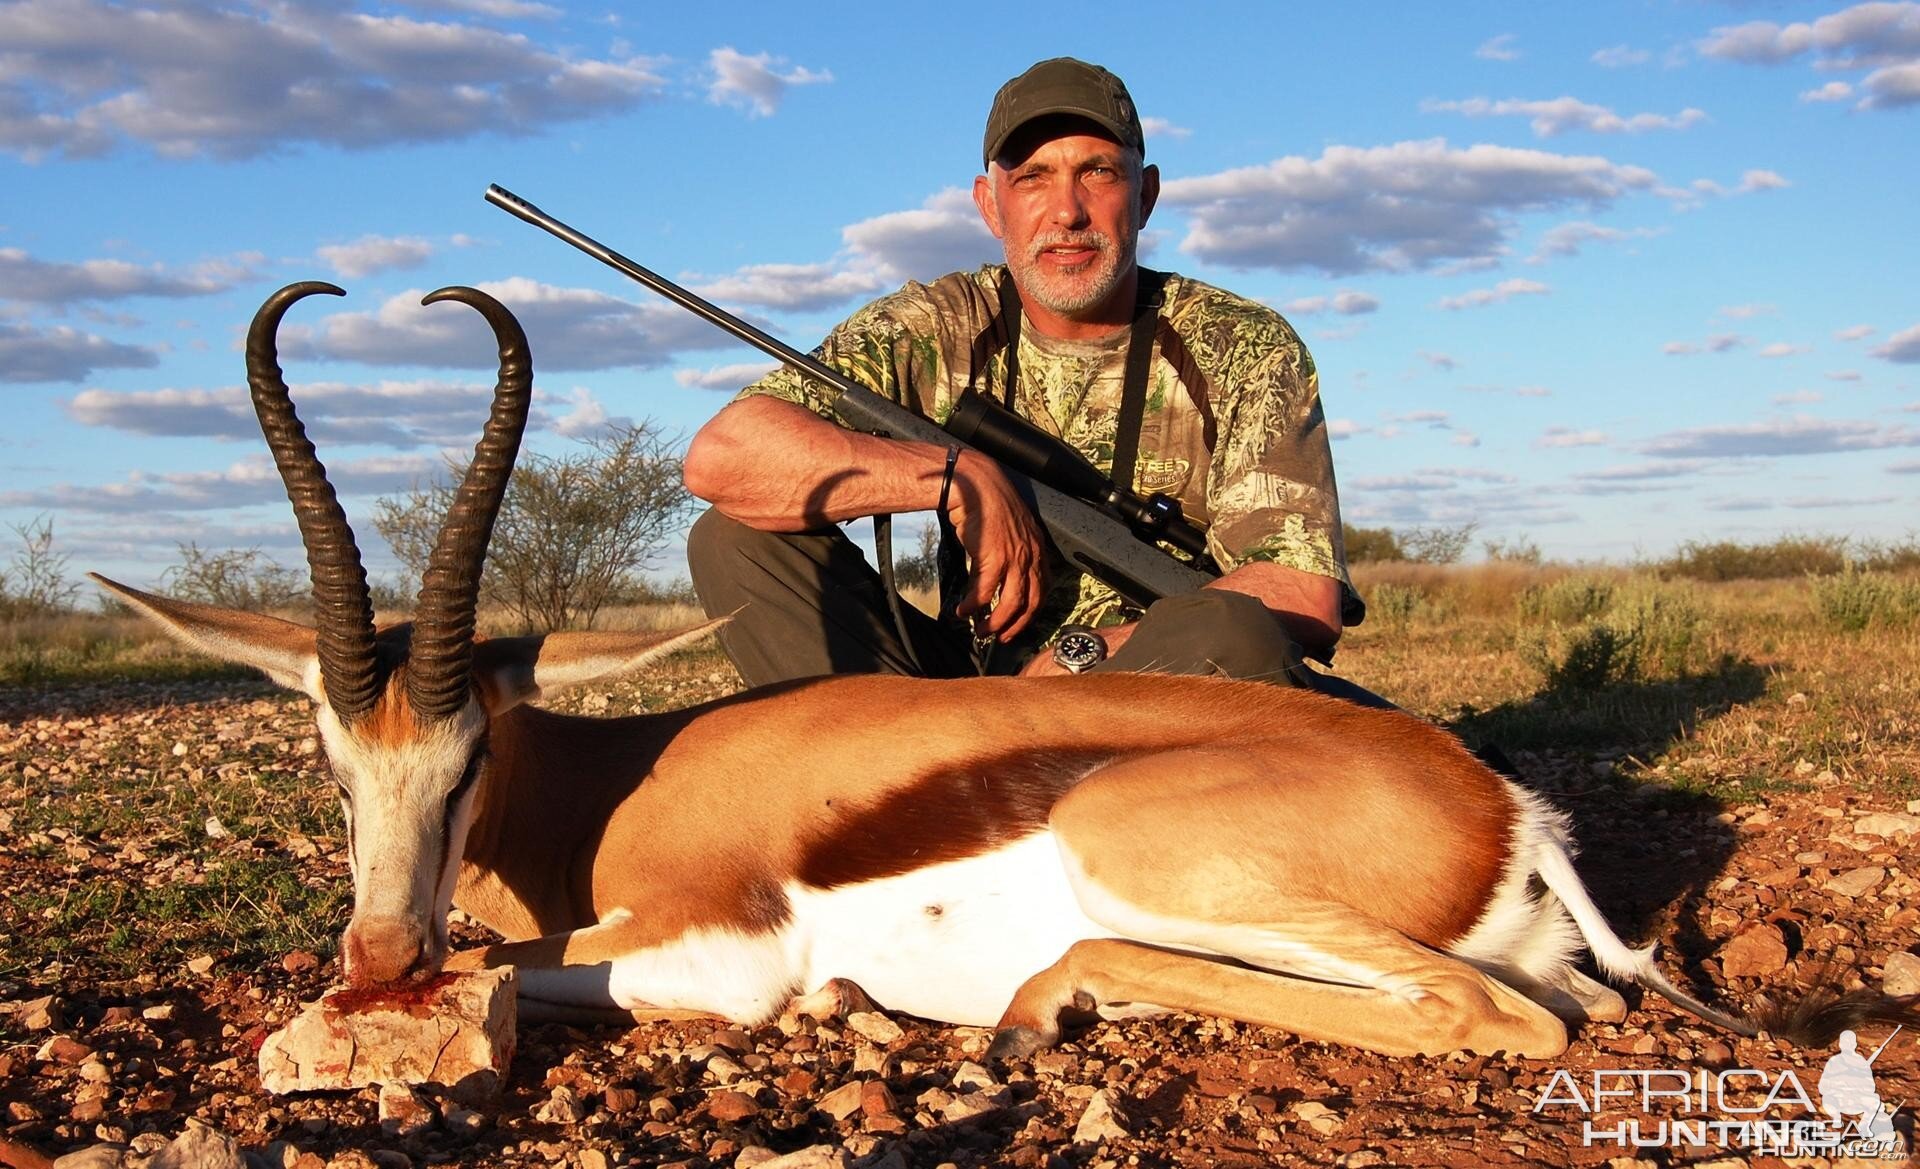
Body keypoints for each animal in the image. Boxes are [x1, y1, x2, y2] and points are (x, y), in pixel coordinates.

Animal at [101, 280, 1889, 1059]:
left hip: (1140, 848)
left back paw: (1037, 1000)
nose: (381, 954)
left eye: (473, 750)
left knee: (1489, 1015)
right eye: (329, 756)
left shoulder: (703, 956)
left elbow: (533, 972)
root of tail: (1512, 815)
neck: (614, 788)